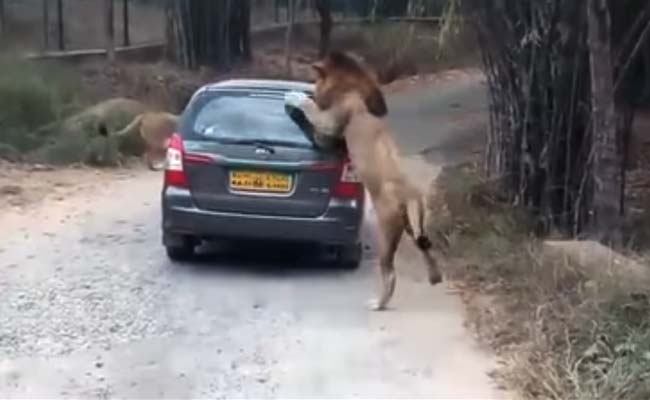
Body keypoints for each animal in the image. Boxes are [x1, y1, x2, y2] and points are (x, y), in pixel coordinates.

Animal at [284, 50, 440, 312]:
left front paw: (296, 97)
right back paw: (435, 277)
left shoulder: (330, 125)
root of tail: (410, 194)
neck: (351, 83)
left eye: (315, 80)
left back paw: (378, 303)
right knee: (427, 249)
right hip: (417, 227)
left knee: (390, 273)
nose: (311, 87)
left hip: (387, 230)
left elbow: (312, 111)